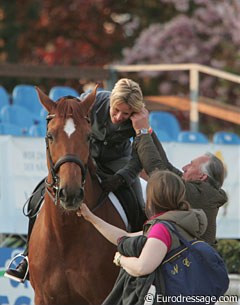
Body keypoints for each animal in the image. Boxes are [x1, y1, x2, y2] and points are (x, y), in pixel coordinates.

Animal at [28, 85, 124, 304]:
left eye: (88, 137)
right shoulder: (43, 298)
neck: (66, 234)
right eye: (50, 136)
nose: (69, 193)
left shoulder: (102, 297)